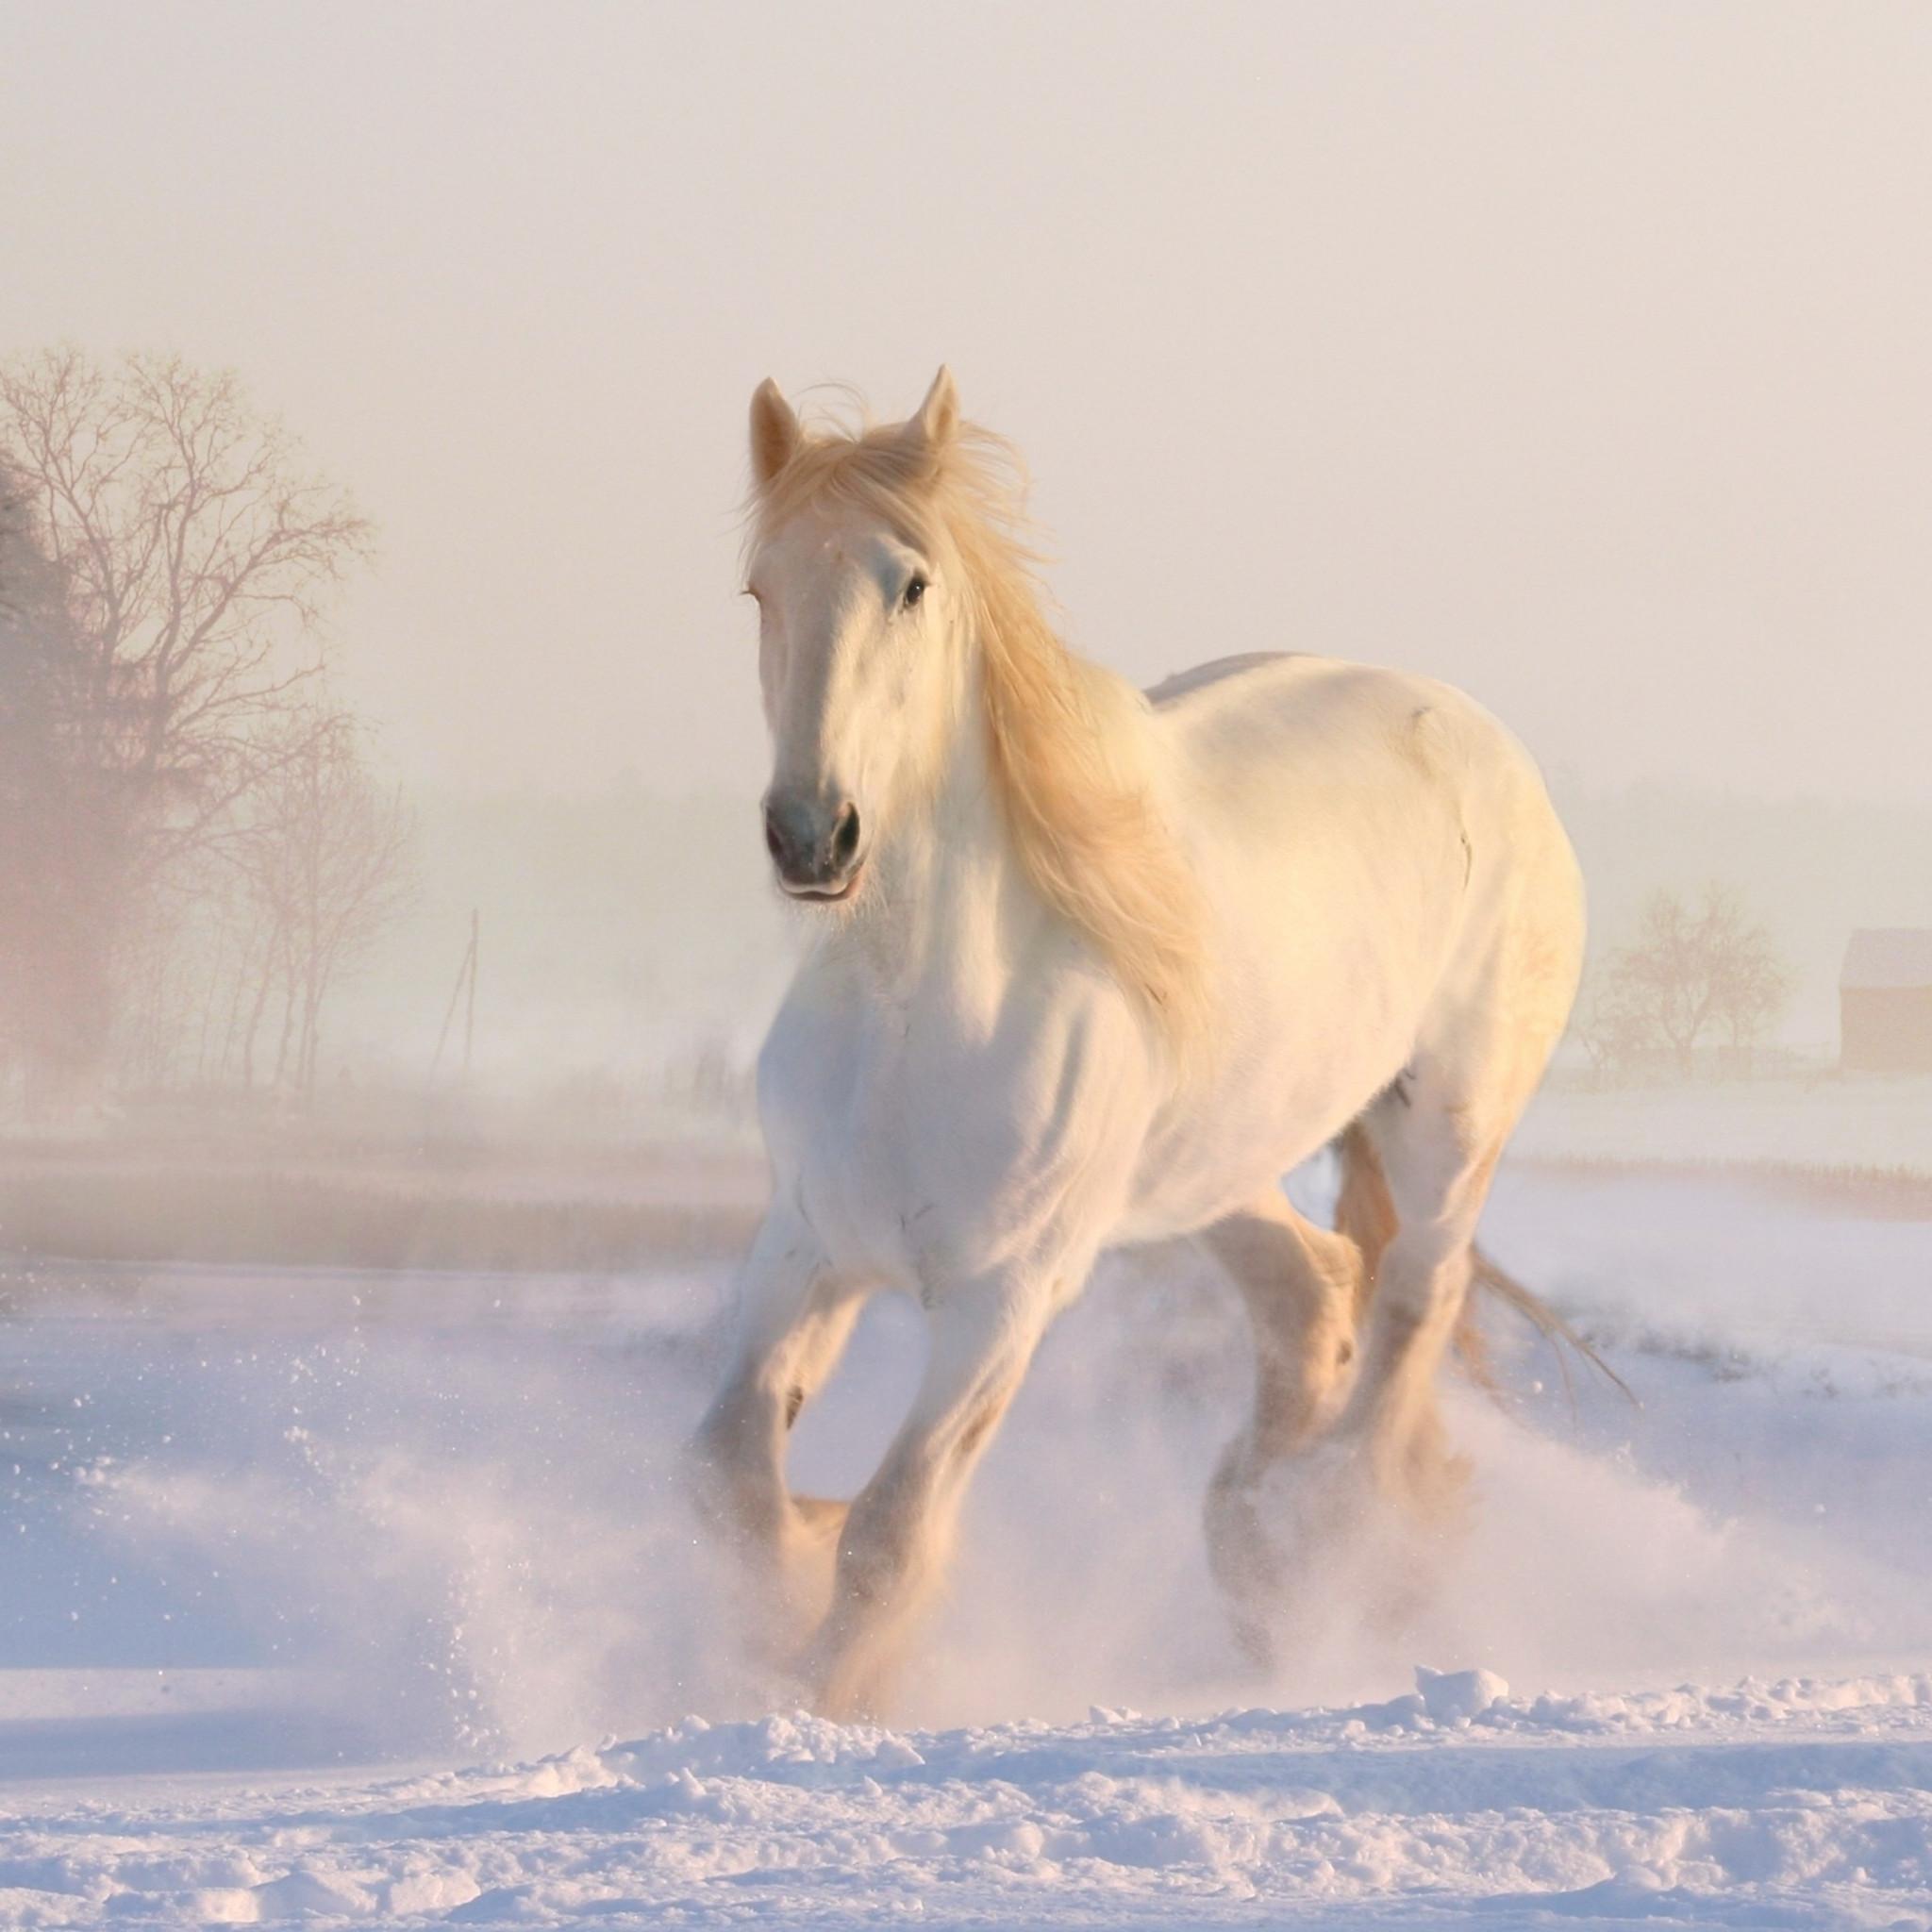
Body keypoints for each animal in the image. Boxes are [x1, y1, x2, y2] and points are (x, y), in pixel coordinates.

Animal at [690, 367, 1587, 1719]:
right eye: (759, 587)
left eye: (911, 584)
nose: (812, 834)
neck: (915, 1016)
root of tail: (1484, 740)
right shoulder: (804, 1245)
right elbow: (732, 1479)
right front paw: (778, 1599)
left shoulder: (1003, 1298)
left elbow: (891, 1532)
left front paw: (828, 1691)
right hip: (1214, 1167)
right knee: (1312, 1290)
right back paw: (1255, 1547)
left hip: (1446, 1123)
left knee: (1409, 1306)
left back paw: (1330, 1543)